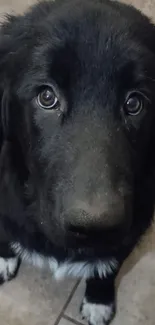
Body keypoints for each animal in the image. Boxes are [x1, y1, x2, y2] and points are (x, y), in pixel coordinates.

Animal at [0, 0, 155, 322]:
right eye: (47, 97)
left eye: (134, 103)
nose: (94, 227)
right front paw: (4, 257)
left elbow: (108, 266)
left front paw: (99, 300)